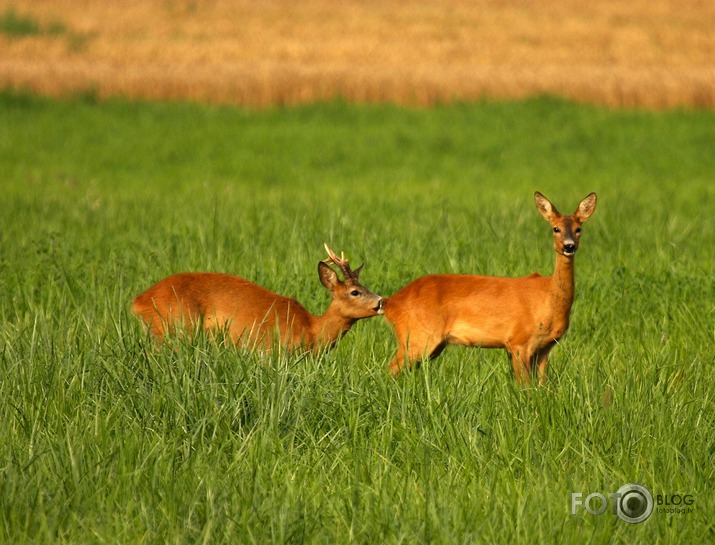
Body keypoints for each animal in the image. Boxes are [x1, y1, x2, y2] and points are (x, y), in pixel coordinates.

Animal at [386, 191, 600, 382]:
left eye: (579, 229)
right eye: (555, 228)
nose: (569, 246)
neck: (549, 299)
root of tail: (391, 302)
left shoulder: (545, 347)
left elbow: (541, 385)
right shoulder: (518, 341)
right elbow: (524, 386)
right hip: (417, 336)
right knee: (390, 368)